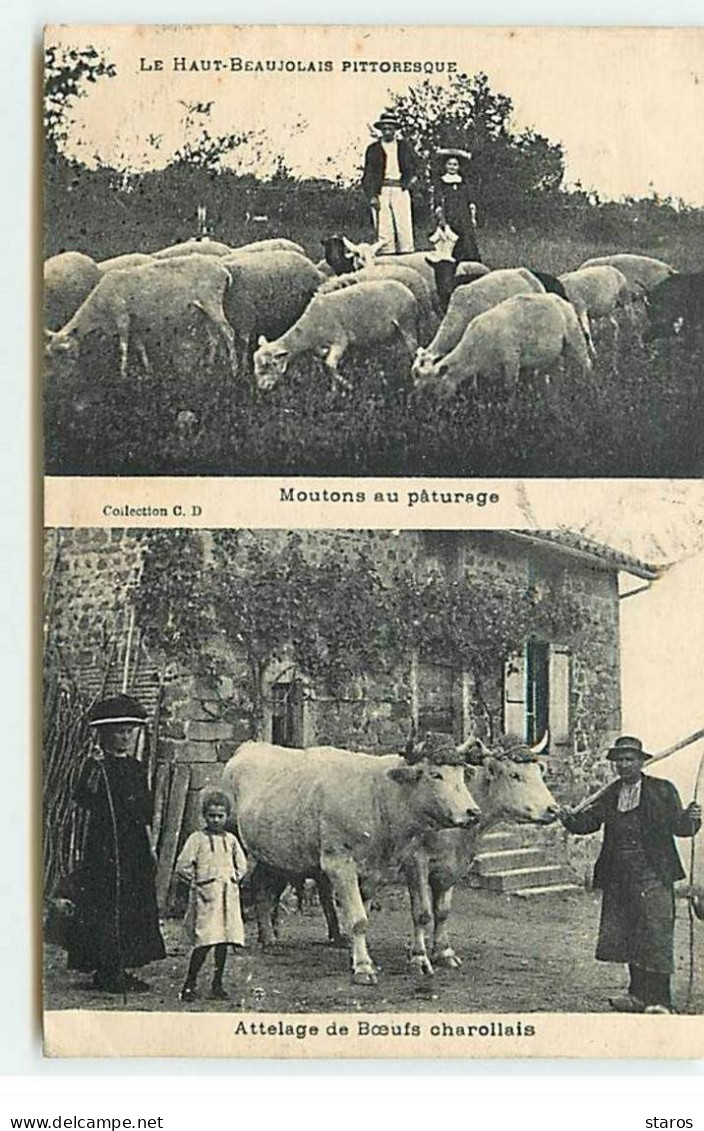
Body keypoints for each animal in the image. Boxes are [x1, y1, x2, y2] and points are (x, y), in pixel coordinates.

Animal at [44, 256, 237, 380]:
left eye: (64, 351)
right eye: (51, 354)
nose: (63, 378)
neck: (98, 308)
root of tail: (223, 270)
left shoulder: (122, 317)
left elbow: (123, 347)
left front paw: (122, 374)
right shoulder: (135, 323)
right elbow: (139, 347)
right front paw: (148, 371)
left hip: (212, 301)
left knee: (228, 332)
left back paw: (234, 369)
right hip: (203, 312)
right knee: (214, 337)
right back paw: (209, 367)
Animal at [253, 278, 418, 389]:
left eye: (270, 364)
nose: (262, 388)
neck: (309, 330)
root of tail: (405, 288)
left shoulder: (340, 340)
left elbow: (329, 365)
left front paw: (347, 387)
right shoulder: (320, 349)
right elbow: (327, 366)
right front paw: (334, 389)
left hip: (407, 323)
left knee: (413, 349)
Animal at [421, 294, 593, 395]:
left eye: (433, 387)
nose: (435, 411)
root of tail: (562, 301)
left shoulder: (511, 359)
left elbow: (509, 389)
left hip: (574, 338)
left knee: (586, 362)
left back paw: (586, 386)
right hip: (556, 353)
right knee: (556, 372)